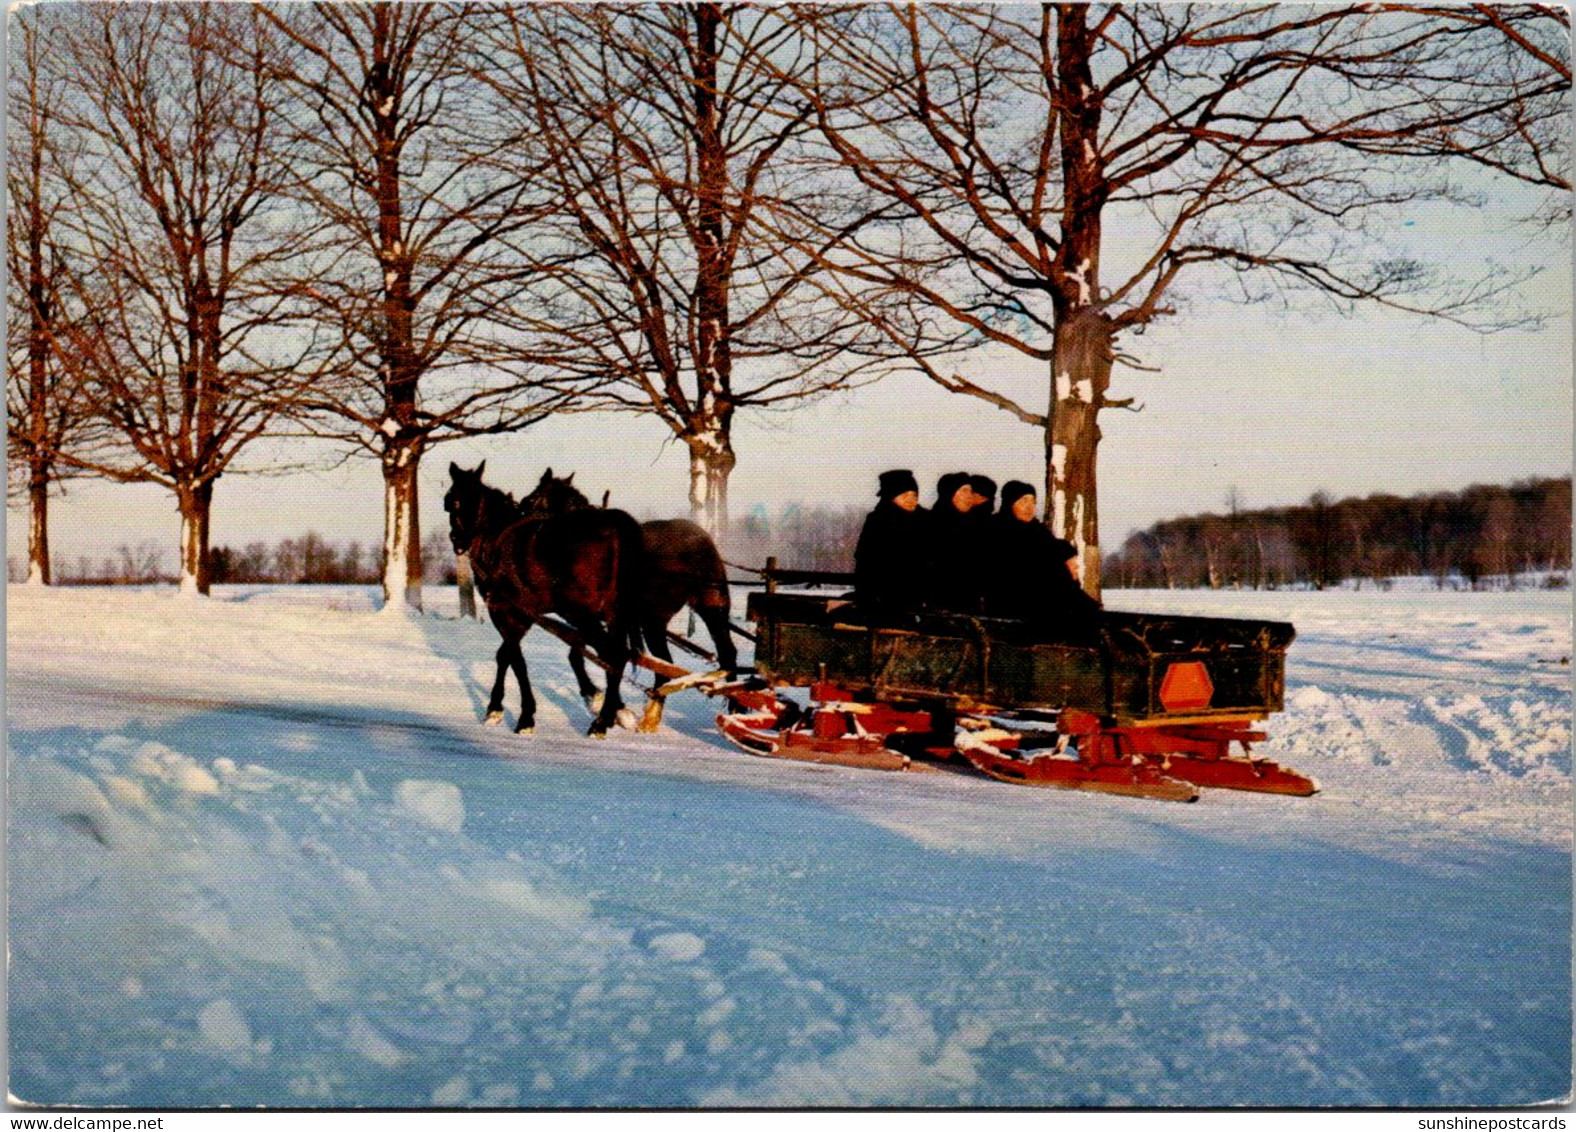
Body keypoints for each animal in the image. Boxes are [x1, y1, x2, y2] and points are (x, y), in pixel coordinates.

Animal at [444, 463, 646, 741]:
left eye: (450, 502)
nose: (458, 540)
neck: (496, 537)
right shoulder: (527, 614)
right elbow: (507, 654)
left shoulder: (506, 610)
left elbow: (513, 658)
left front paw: (518, 715)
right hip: (610, 614)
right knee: (615, 655)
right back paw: (610, 713)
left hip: (582, 612)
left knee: (611, 654)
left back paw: (601, 721)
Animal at [516, 469, 737, 709]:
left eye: (532, 498)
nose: (518, 512)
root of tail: (704, 540)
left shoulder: (587, 616)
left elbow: (583, 655)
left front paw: (595, 695)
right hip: (681, 615)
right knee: (693, 660)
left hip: (682, 615)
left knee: (695, 660)